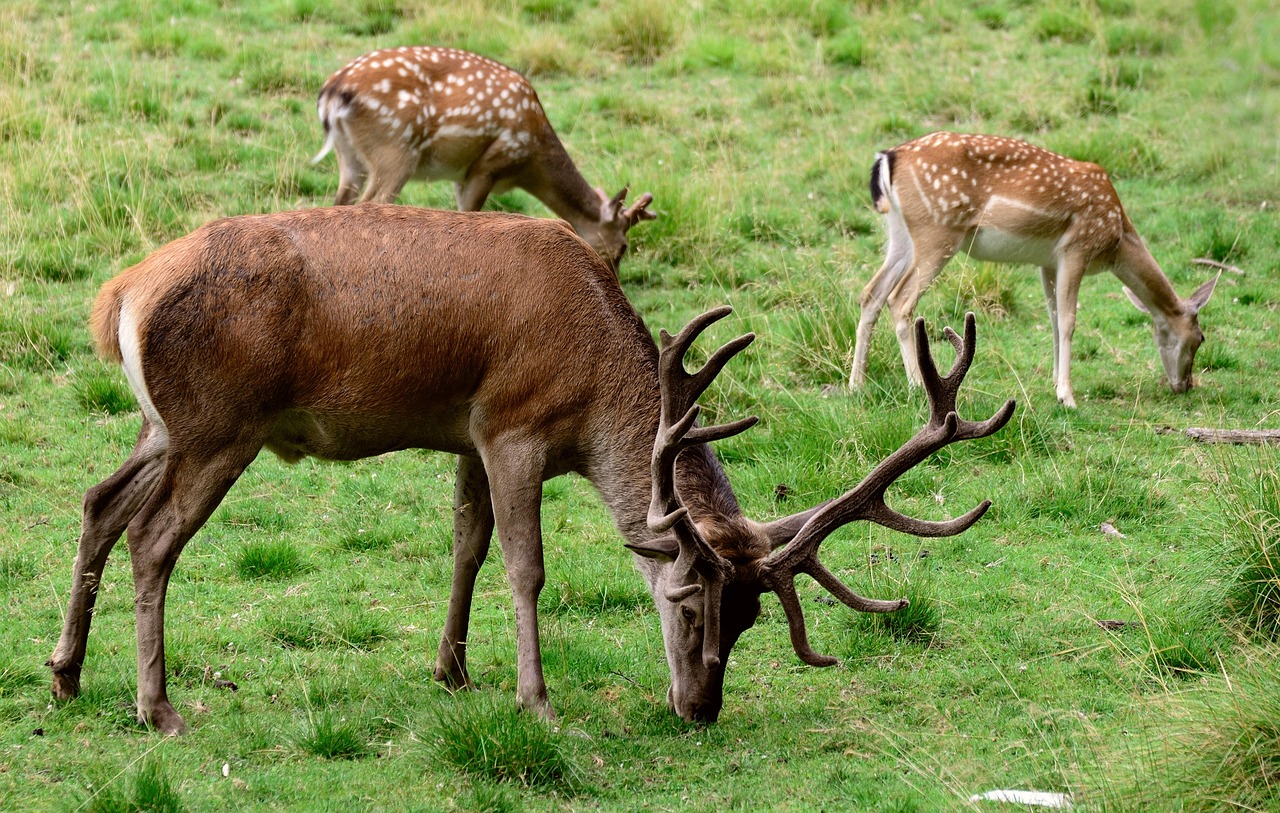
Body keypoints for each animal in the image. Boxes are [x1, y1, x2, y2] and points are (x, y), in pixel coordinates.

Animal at [47, 203, 1014, 735]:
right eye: (688, 604)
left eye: (750, 622)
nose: (700, 707)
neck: (593, 390)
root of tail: (119, 296)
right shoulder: (512, 425)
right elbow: (525, 566)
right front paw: (536, 699)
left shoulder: (467, 434)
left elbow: (467, 546)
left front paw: (452, 670)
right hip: (220, 425)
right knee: (152, 536)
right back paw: (159, 708)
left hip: (164, 424)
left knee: (97, 502)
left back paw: (65, 674)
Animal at [312, 46, 655, 269]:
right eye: (622, 247)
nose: (612, 278)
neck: (530, 159)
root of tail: (333, 92)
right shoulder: (488, 165)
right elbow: (470, 216)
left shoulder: (462, 174)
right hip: (395, 150)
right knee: (371, 203)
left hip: (350, 156)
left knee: (340, 201)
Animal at [848, 131, 1219, 408]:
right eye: (1200, 338)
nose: (1185, 385)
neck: (1116, 238)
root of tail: (888, 157)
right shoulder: (1076, 248)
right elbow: (1069, 321)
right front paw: (1067, 396)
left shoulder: (1047, 262)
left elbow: (1053, 319)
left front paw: (1055, 383)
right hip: (938, 231)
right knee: (900, 299)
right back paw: (915, 386)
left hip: (901, 233)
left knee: (871, 293)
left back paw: (856, 385)